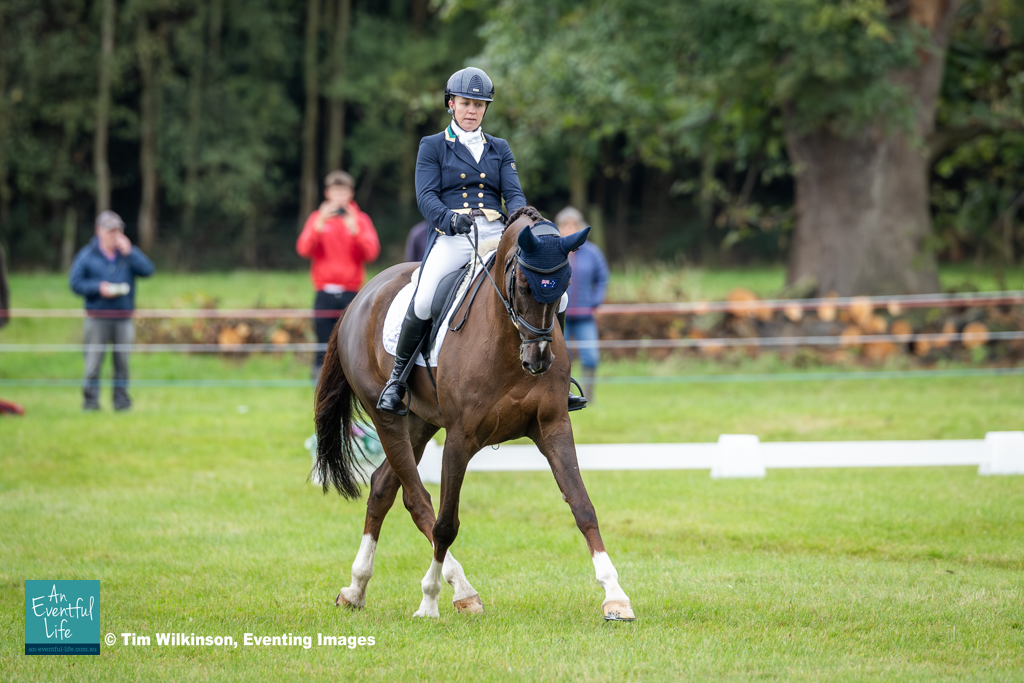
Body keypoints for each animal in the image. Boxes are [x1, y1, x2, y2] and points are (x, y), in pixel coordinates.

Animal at [313, 207, 635, 621]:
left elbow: (583, 507)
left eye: (565, 285)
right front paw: (429, 601)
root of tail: (360, 299)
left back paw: (357, 589)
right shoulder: (460, 438)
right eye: (525, 285)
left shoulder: (553, 426)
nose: (538, 360)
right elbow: (446, 523)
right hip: (388, 417)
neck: (506, 339)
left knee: (383, 486)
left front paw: (615, 595)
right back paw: (457, 589)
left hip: (420, 421)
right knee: (417, 498)